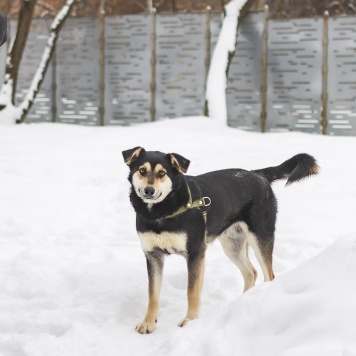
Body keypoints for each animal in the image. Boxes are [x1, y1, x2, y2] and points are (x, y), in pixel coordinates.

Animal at [123, 146, 320, 332]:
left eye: (162, 173)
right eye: (142, 170)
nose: (149, 191)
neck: (161, 213)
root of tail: (258, 174)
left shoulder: (195, 253)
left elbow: (192, 292)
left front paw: (190, 321)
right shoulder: (153, 256)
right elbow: (153, 295)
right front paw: (148, 323)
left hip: (260, 237)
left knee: (269, 275)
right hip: (233, 246)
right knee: (251, 273)